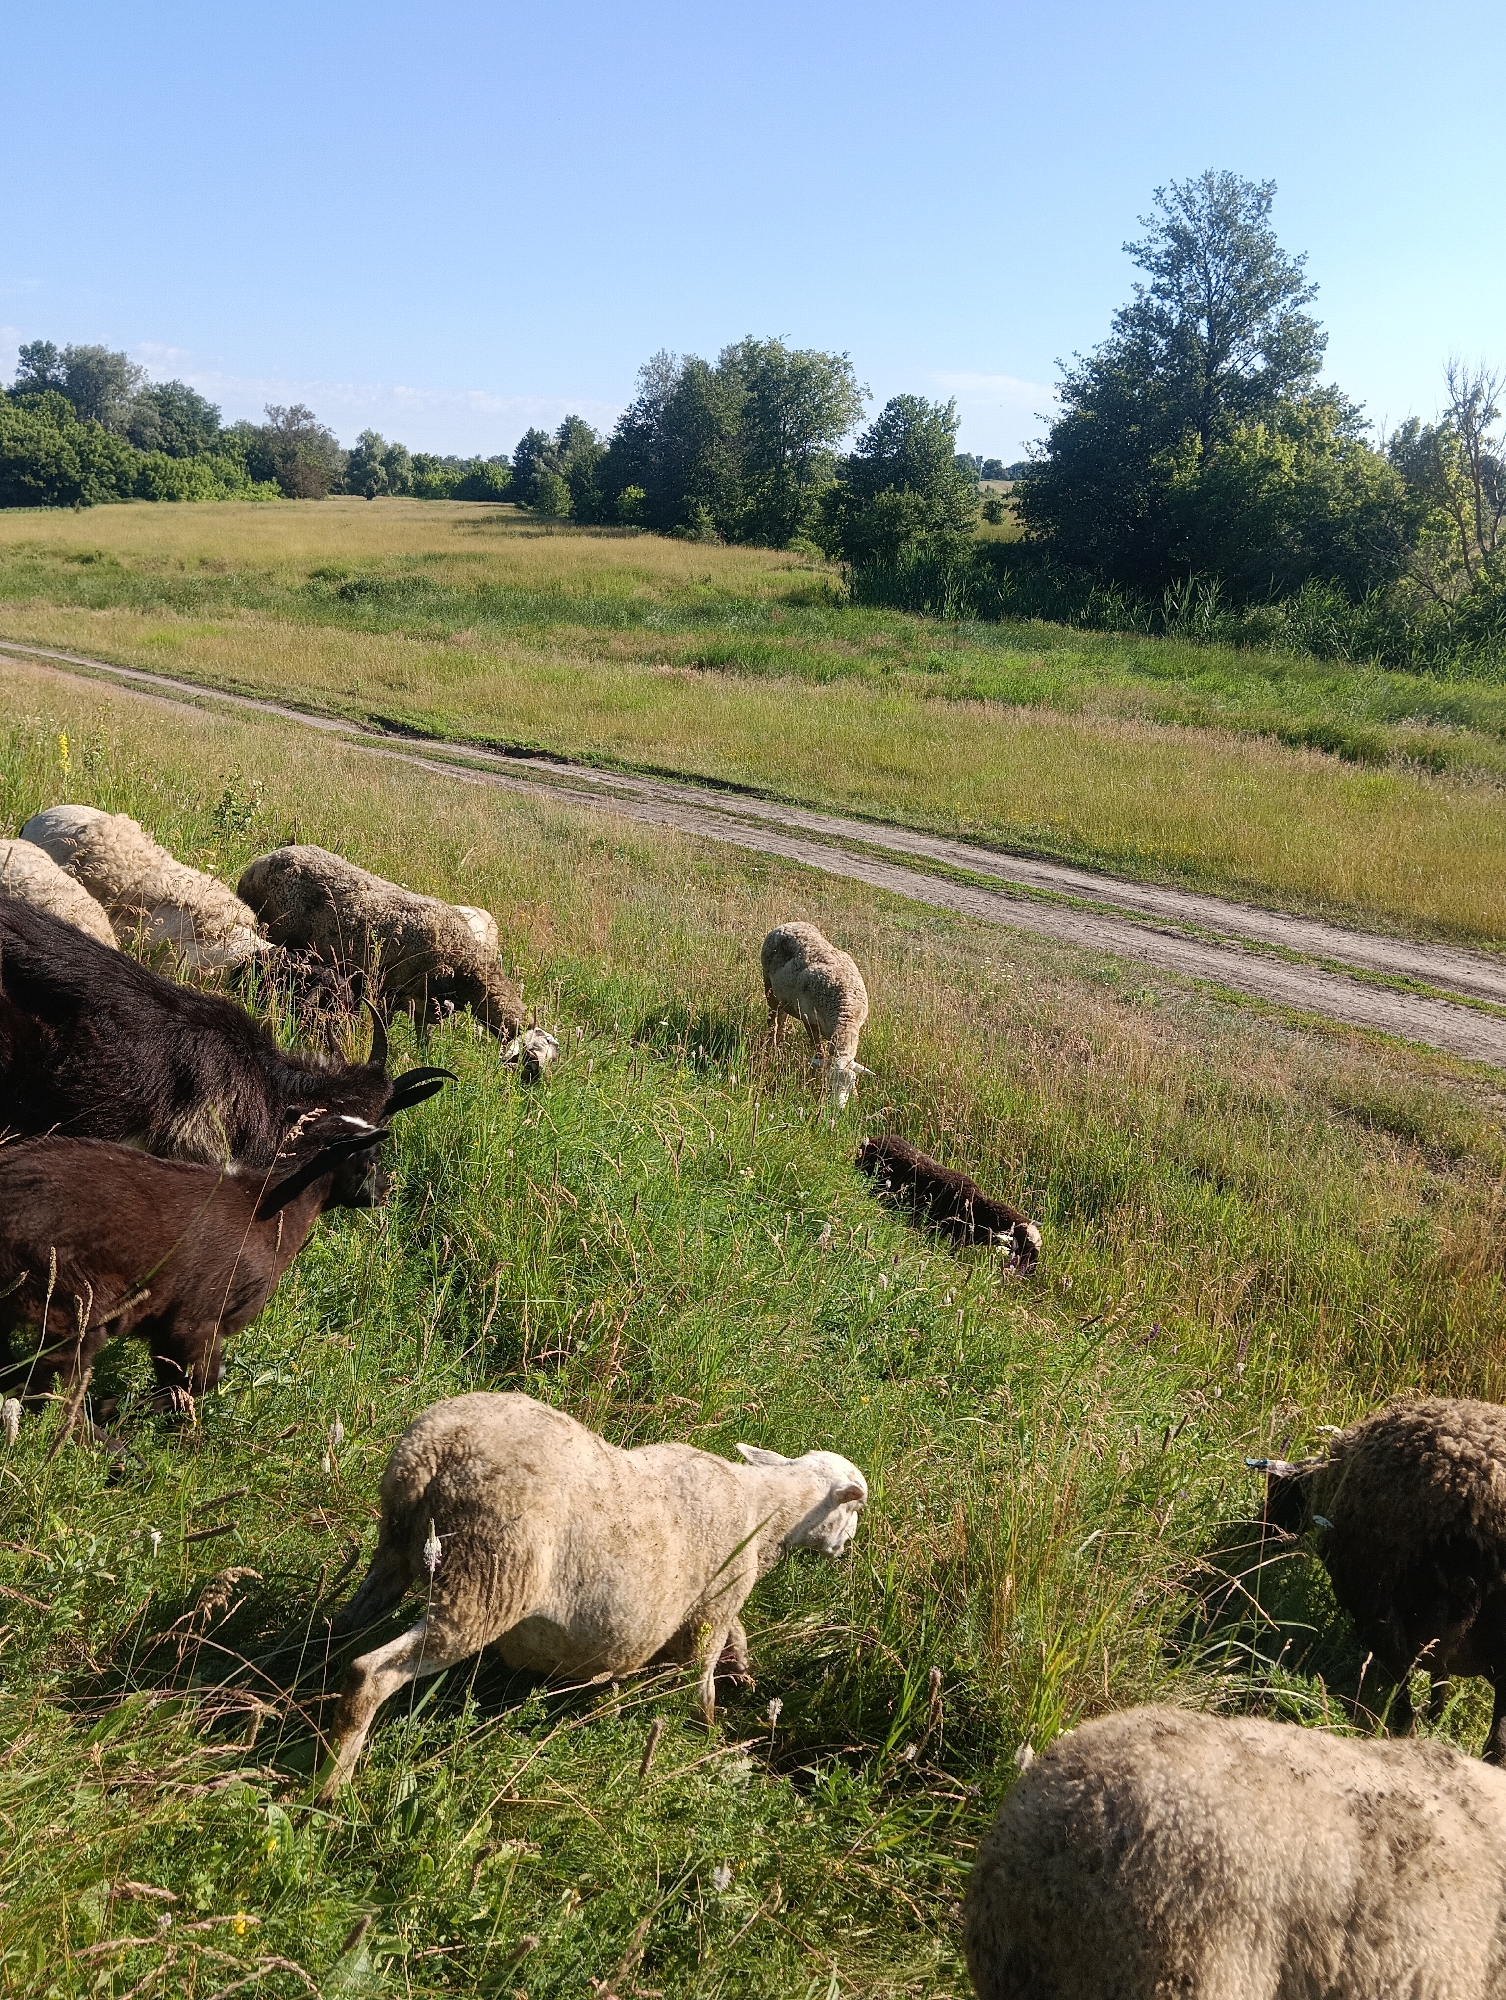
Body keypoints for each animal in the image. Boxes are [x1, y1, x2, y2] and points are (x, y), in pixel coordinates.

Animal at [0, 1119, 390, 1416]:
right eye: (371, 1159)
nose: (386, 1190)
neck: (272, 1211)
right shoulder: (198, 1318)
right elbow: (199, 1383)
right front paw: (129, 1415)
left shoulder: (168, 1324)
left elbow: (174, 1381)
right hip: (72, 1298)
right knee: (54, 1381)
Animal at [236, 846, 542, 1061]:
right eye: (531, 1061)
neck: (466, 967)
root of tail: (257, 864)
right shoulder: (390, 993)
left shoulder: (424, 1004)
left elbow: (424, 1037)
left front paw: (424, 1059)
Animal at [318, 1392, 868, 1793]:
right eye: (856, 1508)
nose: (846, 1549)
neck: (762, 1507)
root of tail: (437, 1451)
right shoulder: (717, 1600)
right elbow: (701, 1682)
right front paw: (711, 1734)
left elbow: (735, 1638)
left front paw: (744, 1669)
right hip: (487, 1580)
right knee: (370, 1673)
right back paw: (332, 1787)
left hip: (396, 1551)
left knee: (342, 1628)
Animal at [761, 922, 871, 1108]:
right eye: (830, 1081)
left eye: (851, 1083)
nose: (838, 1108)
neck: (843, 1016)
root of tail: (787, 924)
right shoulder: (809, 1019)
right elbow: (819, 1053)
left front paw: (856, 1097)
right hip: (768, 984)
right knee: (773, 1021)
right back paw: (771, 1048)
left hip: (784, 997)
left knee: (782, 1019)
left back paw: (780, 1046)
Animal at [1252, 1396, 1506, 1760]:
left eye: (1277, 1491)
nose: (1256, 1536)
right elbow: (1440, 1676)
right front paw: (1437, 1716)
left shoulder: (1367, 1606)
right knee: (1497, 1744)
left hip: (1382, 1603)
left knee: (1403, 1697)